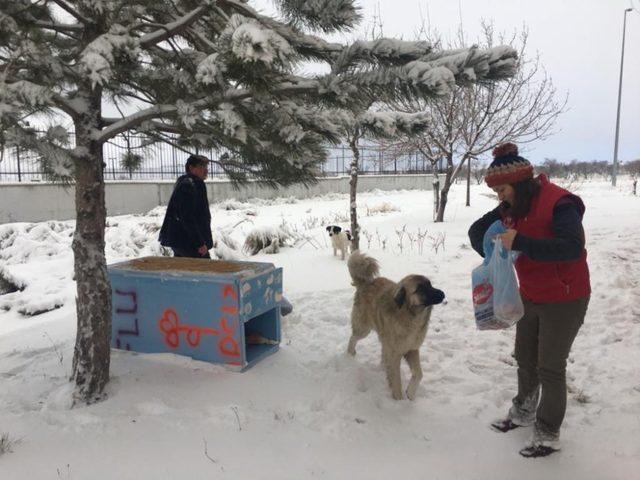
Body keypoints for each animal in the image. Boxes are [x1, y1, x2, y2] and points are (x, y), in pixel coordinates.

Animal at [344, 251, 444, 402]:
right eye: (420, 289)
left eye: (430, 284)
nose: (442, 294)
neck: (410, 315)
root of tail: (366, 283)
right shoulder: (396, 353)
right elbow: (396, 381)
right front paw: (398, 402)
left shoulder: (412, 349)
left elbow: (419, 373)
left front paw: (411, 392)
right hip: (364, 328)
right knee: (353, 338)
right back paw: (350, 354)